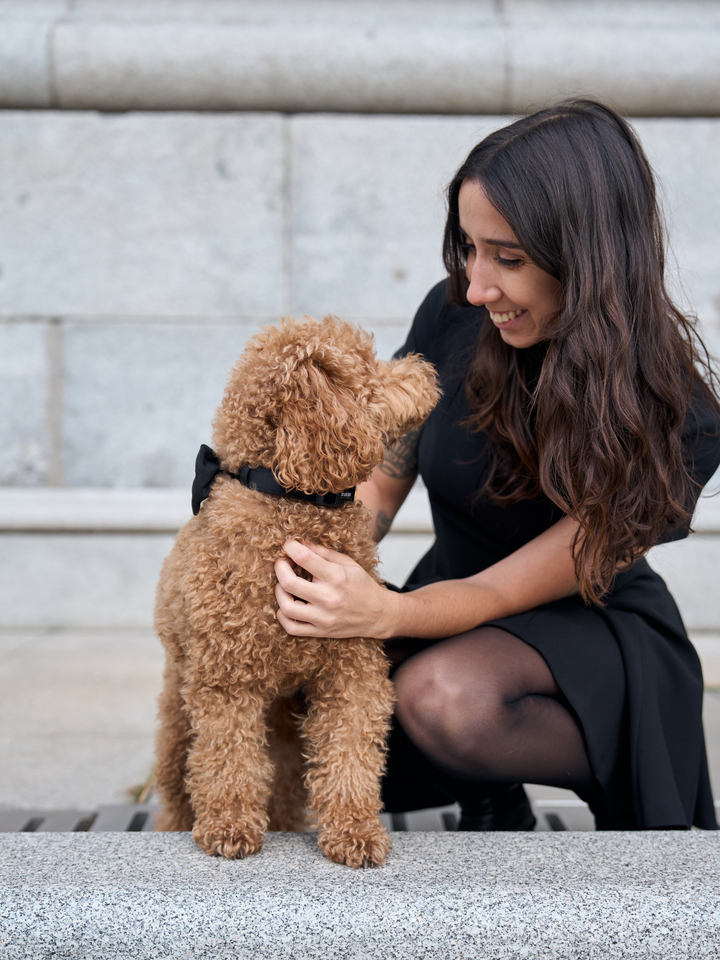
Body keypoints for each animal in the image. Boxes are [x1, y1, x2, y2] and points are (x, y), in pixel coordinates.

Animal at [153, 316, 438, 872]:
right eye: (367, 364)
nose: (426, 369)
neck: (290, 499)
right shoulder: (225, 679)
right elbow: (227, 756)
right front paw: (228, 827)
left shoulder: (350, 667)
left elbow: (350, 751)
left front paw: (354, 831)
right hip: (180, 704)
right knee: (179, 779)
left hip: (284, 717)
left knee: (285, 781)